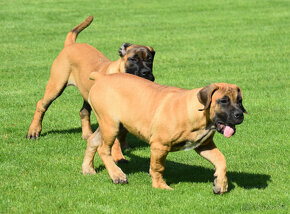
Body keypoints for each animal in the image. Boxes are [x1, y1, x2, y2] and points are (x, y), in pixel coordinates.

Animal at [25, 16, 155, 160]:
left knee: (83, 111)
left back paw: (87, 134)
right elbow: (114, 138)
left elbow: (123, 132)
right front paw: (118, 156)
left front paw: (124, 145)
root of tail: (70, 45)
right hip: (56, 85)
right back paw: (33, 131)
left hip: (86, 93)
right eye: (133, 59)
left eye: (150, 60)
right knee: (41, 104)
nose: (146, 72)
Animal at [82, 72, 247, 194]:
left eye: (239, 101)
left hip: (115, 124)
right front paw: (160, 186)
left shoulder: (205, 145)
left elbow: (221, 160)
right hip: (111, 125)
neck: (197, 114)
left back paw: (88, 169)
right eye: (223, 101)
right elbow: (158, 167)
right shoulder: (160, 145)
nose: (240, 115)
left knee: (93, 141)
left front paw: (221, 183)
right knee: (103, 149)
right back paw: (117, 175)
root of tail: (101, 77)